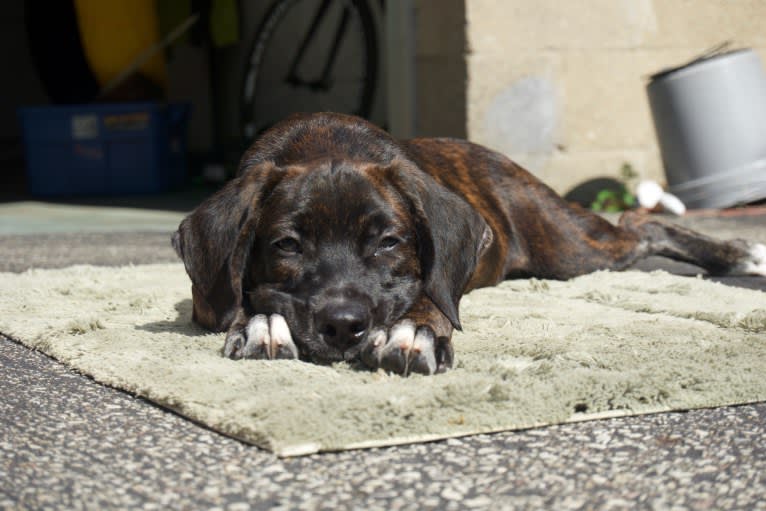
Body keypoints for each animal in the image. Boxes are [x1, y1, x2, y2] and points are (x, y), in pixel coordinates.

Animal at [174, 112, 766, 376]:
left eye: (389, 242)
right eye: (287, 245)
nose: (343, 326)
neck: (322, 144)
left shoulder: (430, 283)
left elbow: (428, 299)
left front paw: (413, 332)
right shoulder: (207, 298)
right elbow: (243, 298)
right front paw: (263, 323)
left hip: (572, 247)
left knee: (640, 227)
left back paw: (739, 253)